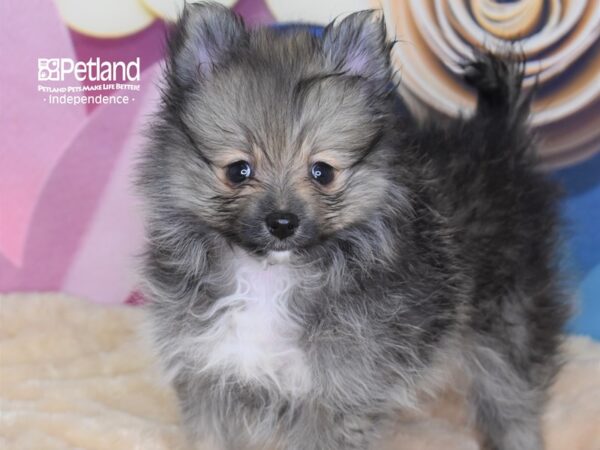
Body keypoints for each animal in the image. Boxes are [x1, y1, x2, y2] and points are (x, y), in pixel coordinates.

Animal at [137, 3, 572, 450]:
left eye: (322, 172)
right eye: (239, 171)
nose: (282, 222)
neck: (268, 278)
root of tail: (499, 139)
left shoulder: (340, 392)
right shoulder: (208, 372)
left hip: (508, 325)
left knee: (513, 400)